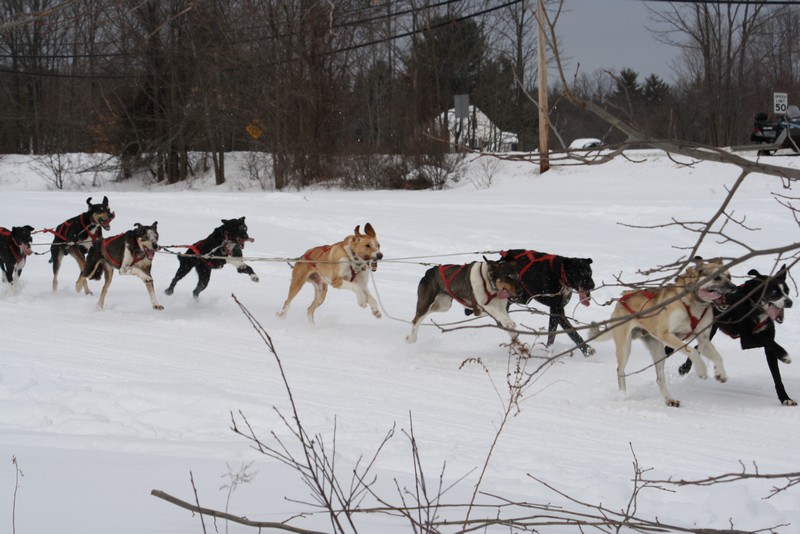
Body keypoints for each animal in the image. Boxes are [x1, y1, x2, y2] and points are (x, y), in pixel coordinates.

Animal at [592, 258, 736, 408]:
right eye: (717, 277)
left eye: (729, 276)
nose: (734, 287)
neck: (692, 303)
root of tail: (622, 298)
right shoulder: (665, 335)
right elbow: (692, 351)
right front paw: (701, 370)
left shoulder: (703, 340)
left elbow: (717, 356)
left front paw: (720, 373)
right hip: (625, 348)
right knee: (620, 371)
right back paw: (623, 396)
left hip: (658, 351)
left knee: (659, 378)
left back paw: (669, 399)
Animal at [676, 266, 792, 408]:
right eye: (775, 293)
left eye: (787, 290)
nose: (789, 302)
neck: (754, 303)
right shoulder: (747, 339)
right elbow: (767, 340)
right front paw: (783, 354)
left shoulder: (767, 347)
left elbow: (777, 375)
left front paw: (785, 398)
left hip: (709, 331)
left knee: (698, 347)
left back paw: (685, 368)